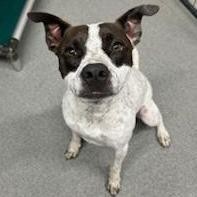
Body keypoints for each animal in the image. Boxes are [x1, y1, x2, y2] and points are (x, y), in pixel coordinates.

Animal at [27, 4, 171, 195]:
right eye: (71, 51)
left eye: (117, 46)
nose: (94, 71)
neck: (95, 111)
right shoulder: (73, 125)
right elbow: (75, 136)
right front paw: (74, 147)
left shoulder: (121, 149)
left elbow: (115, 167)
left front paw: (114, 181)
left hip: (148, 113)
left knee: (159, 119)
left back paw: (163, 135)